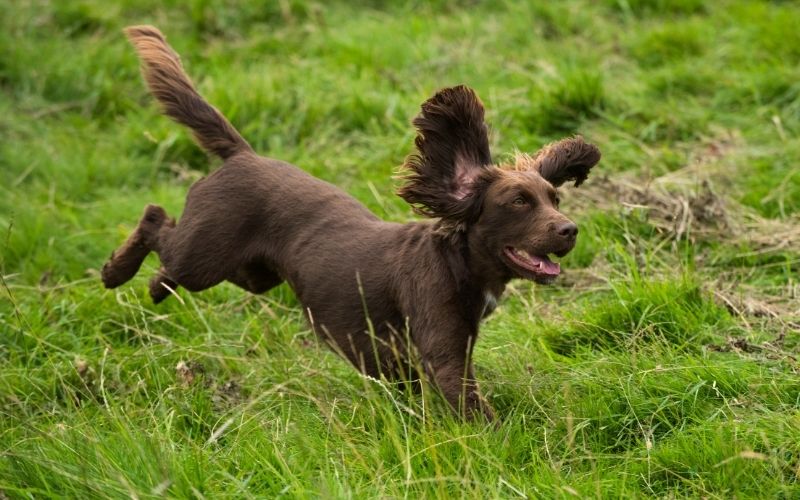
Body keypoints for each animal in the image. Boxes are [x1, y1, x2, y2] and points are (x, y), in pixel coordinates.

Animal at [101, 25, 600, 420]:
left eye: (554, 198)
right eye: (518, 202)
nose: (570, 229)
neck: (458, 262)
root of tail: (243, 155)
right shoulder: (444, 354)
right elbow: (473, 408)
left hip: (252, 273)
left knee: (173, 255)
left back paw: (155, 286)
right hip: (205, 257)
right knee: (155, 218)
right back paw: (116, 272)